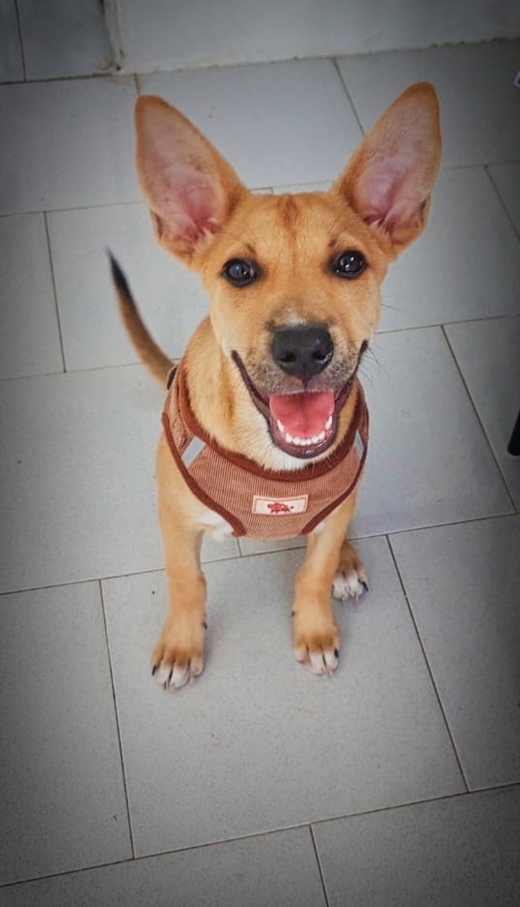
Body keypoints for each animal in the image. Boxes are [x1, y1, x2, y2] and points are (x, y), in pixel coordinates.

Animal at [111, 82, 441, 690]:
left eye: (350, 262)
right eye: (239, 271)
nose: (304, 347)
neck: (274, 462)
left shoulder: (332, 513)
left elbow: (313, 571)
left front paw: (315, 629)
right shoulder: (174, 519)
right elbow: (186, 582)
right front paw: (181, 646)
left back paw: (347, 562)